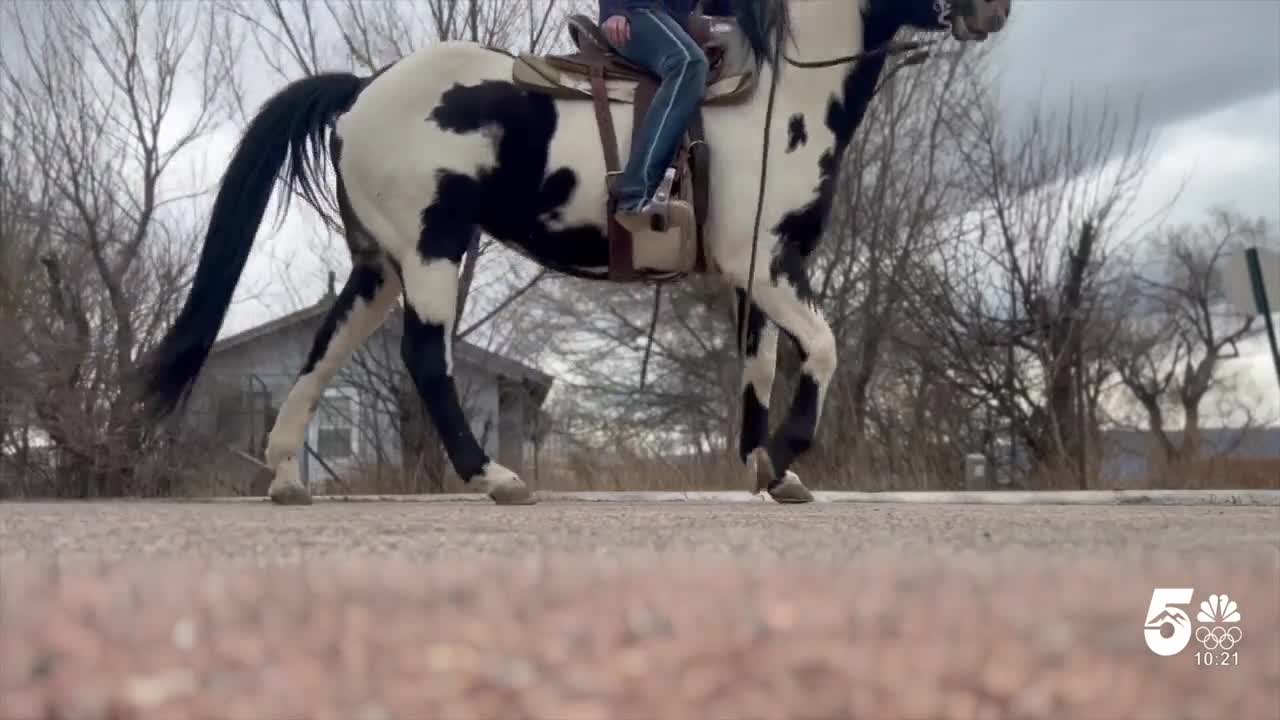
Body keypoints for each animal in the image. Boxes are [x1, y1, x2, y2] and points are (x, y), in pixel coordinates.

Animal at [134, 0, 1010, 506]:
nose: (994, 11)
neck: (776, 97)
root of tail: (360, 93)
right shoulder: (763, 260)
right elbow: (823, 347)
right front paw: (787, 454)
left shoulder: (759, 271)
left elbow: (759, 369)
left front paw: (769, 468)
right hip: (431, 249)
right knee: (424, 358)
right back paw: (492, 477)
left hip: (379, 266)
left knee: (324, 351)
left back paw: (286, 476)